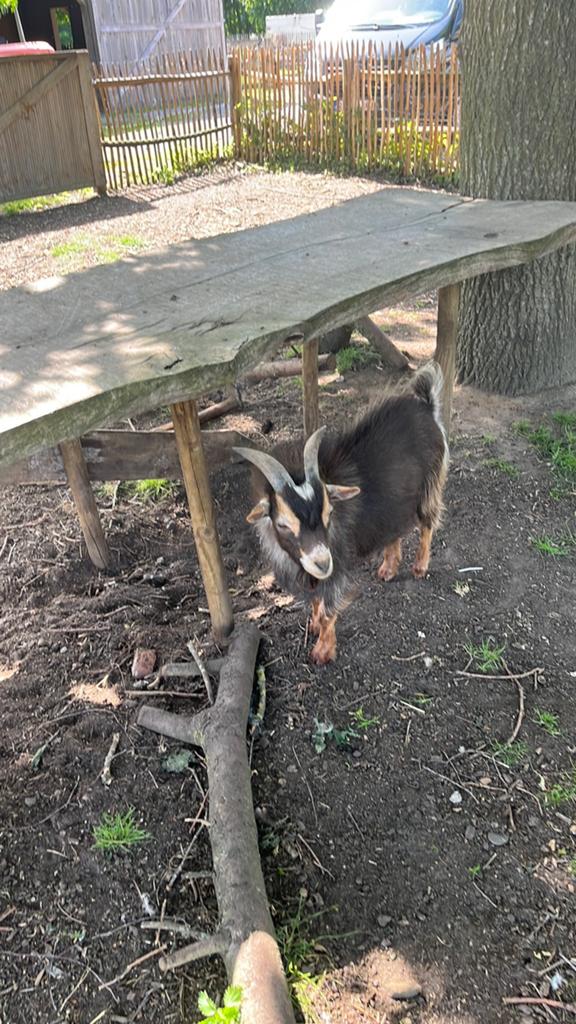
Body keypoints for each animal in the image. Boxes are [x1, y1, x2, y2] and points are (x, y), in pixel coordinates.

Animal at [234, 361, 448, 664]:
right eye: (283, 524)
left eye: (328, 513)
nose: (323, 563)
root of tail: (426, 406)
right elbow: (315, 601)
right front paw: (313, 626)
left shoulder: (337, 568)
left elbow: (328, 610)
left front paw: (323, 651)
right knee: (393, 527)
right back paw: (388, 568)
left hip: (431, 481)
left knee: (428, 522)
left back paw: (419, 567)